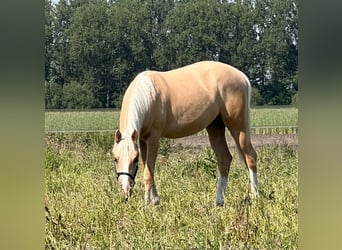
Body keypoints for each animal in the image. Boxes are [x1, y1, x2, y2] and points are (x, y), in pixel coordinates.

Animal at [112, 60, 256, 205]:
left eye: (134, 159)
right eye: (115, 159)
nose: (126, 190)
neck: (148, 95)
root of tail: (241, 76)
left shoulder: (153, 139)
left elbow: (148, 173)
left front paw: (146, 204)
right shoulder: (142, 140)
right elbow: (148, 169)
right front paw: (155, 201)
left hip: (238, 127)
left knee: (250, 157)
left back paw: (256, 197)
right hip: (215, 127)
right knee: (224, 159)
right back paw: (219, 201)